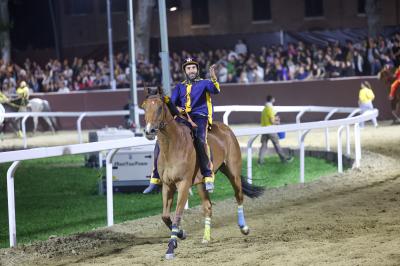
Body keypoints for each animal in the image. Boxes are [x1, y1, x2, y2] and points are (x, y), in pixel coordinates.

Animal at [142, 87, 264, 260]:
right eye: (144, 107)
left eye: (159, 107)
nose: (149, 131)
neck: (173, 145)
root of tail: (226, 129)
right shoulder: (167, 185)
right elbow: (165, 216)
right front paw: (181, 234)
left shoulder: (183, 184)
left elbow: (177, 215)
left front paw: (171, 247)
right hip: (201, 182)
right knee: (208, 207)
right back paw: (206, 237)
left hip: (232, 172)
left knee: (239, 196)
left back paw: (244, 227)